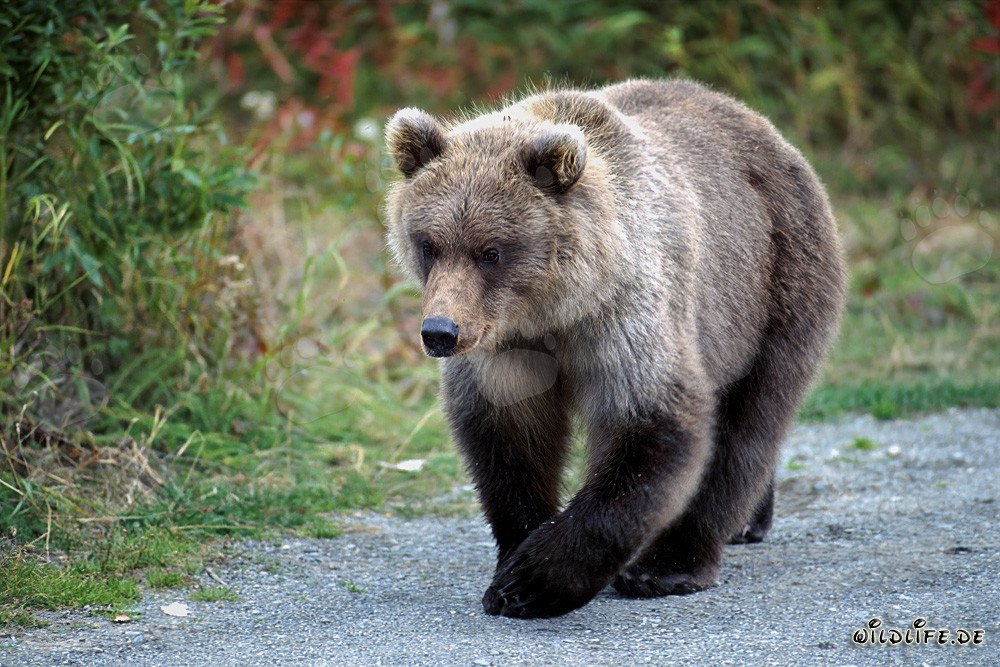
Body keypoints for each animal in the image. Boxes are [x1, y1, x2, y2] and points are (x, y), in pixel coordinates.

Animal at [383, 79, 845, 619]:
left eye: (490, 251)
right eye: (428, 244)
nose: (441, 331)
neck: (553, 310)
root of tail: (768, 132)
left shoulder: (622, 317)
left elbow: (652, 424)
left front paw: (535, 580)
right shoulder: (508, 349)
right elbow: (508, 438)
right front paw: (513, 562)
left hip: (775, 285)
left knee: (749, 422)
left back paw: (674, 561)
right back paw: (751, 520)